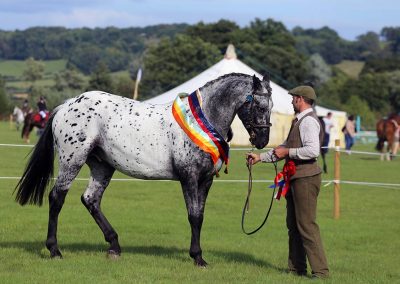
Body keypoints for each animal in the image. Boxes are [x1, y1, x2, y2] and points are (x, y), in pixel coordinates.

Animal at [14, 73, 274, 266]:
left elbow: (200, 216)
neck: (202, 119)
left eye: (271, 106)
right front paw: (197, 257)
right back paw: (54, 250)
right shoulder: (189, 177)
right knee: (57, 197)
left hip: (102, 166)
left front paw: (198, 255)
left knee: (90, 199)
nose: (262, 140)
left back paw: (114, 246)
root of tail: (67, 105)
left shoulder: (206, 180)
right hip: (72, 160)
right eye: (260, 106)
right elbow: (194, 216)